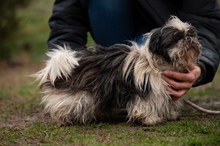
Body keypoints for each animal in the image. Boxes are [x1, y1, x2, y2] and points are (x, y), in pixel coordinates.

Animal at [34, 15, 201, 125]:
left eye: (190, 34)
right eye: (176, 38)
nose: (188, 39)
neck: (157, 65)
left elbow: (168, 102)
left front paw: (170, 114)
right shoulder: (147, 90)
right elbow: (147, 105)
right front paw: (151, 119)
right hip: (77, 95)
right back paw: (63, 118)